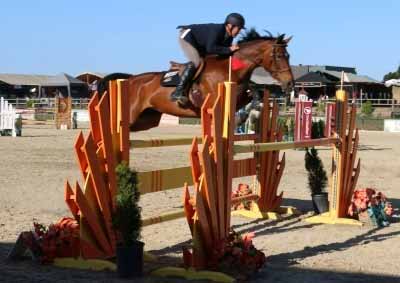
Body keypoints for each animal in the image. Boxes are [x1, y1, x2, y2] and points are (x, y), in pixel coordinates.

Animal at [99, 33, 294, 132]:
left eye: (288, 55)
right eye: (279, 56)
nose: (290, 84)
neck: (231, 67)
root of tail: (130, 79)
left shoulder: (240, 94)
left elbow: (255, 93)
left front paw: (248, 114)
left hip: (146, 119)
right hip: (130, 116)